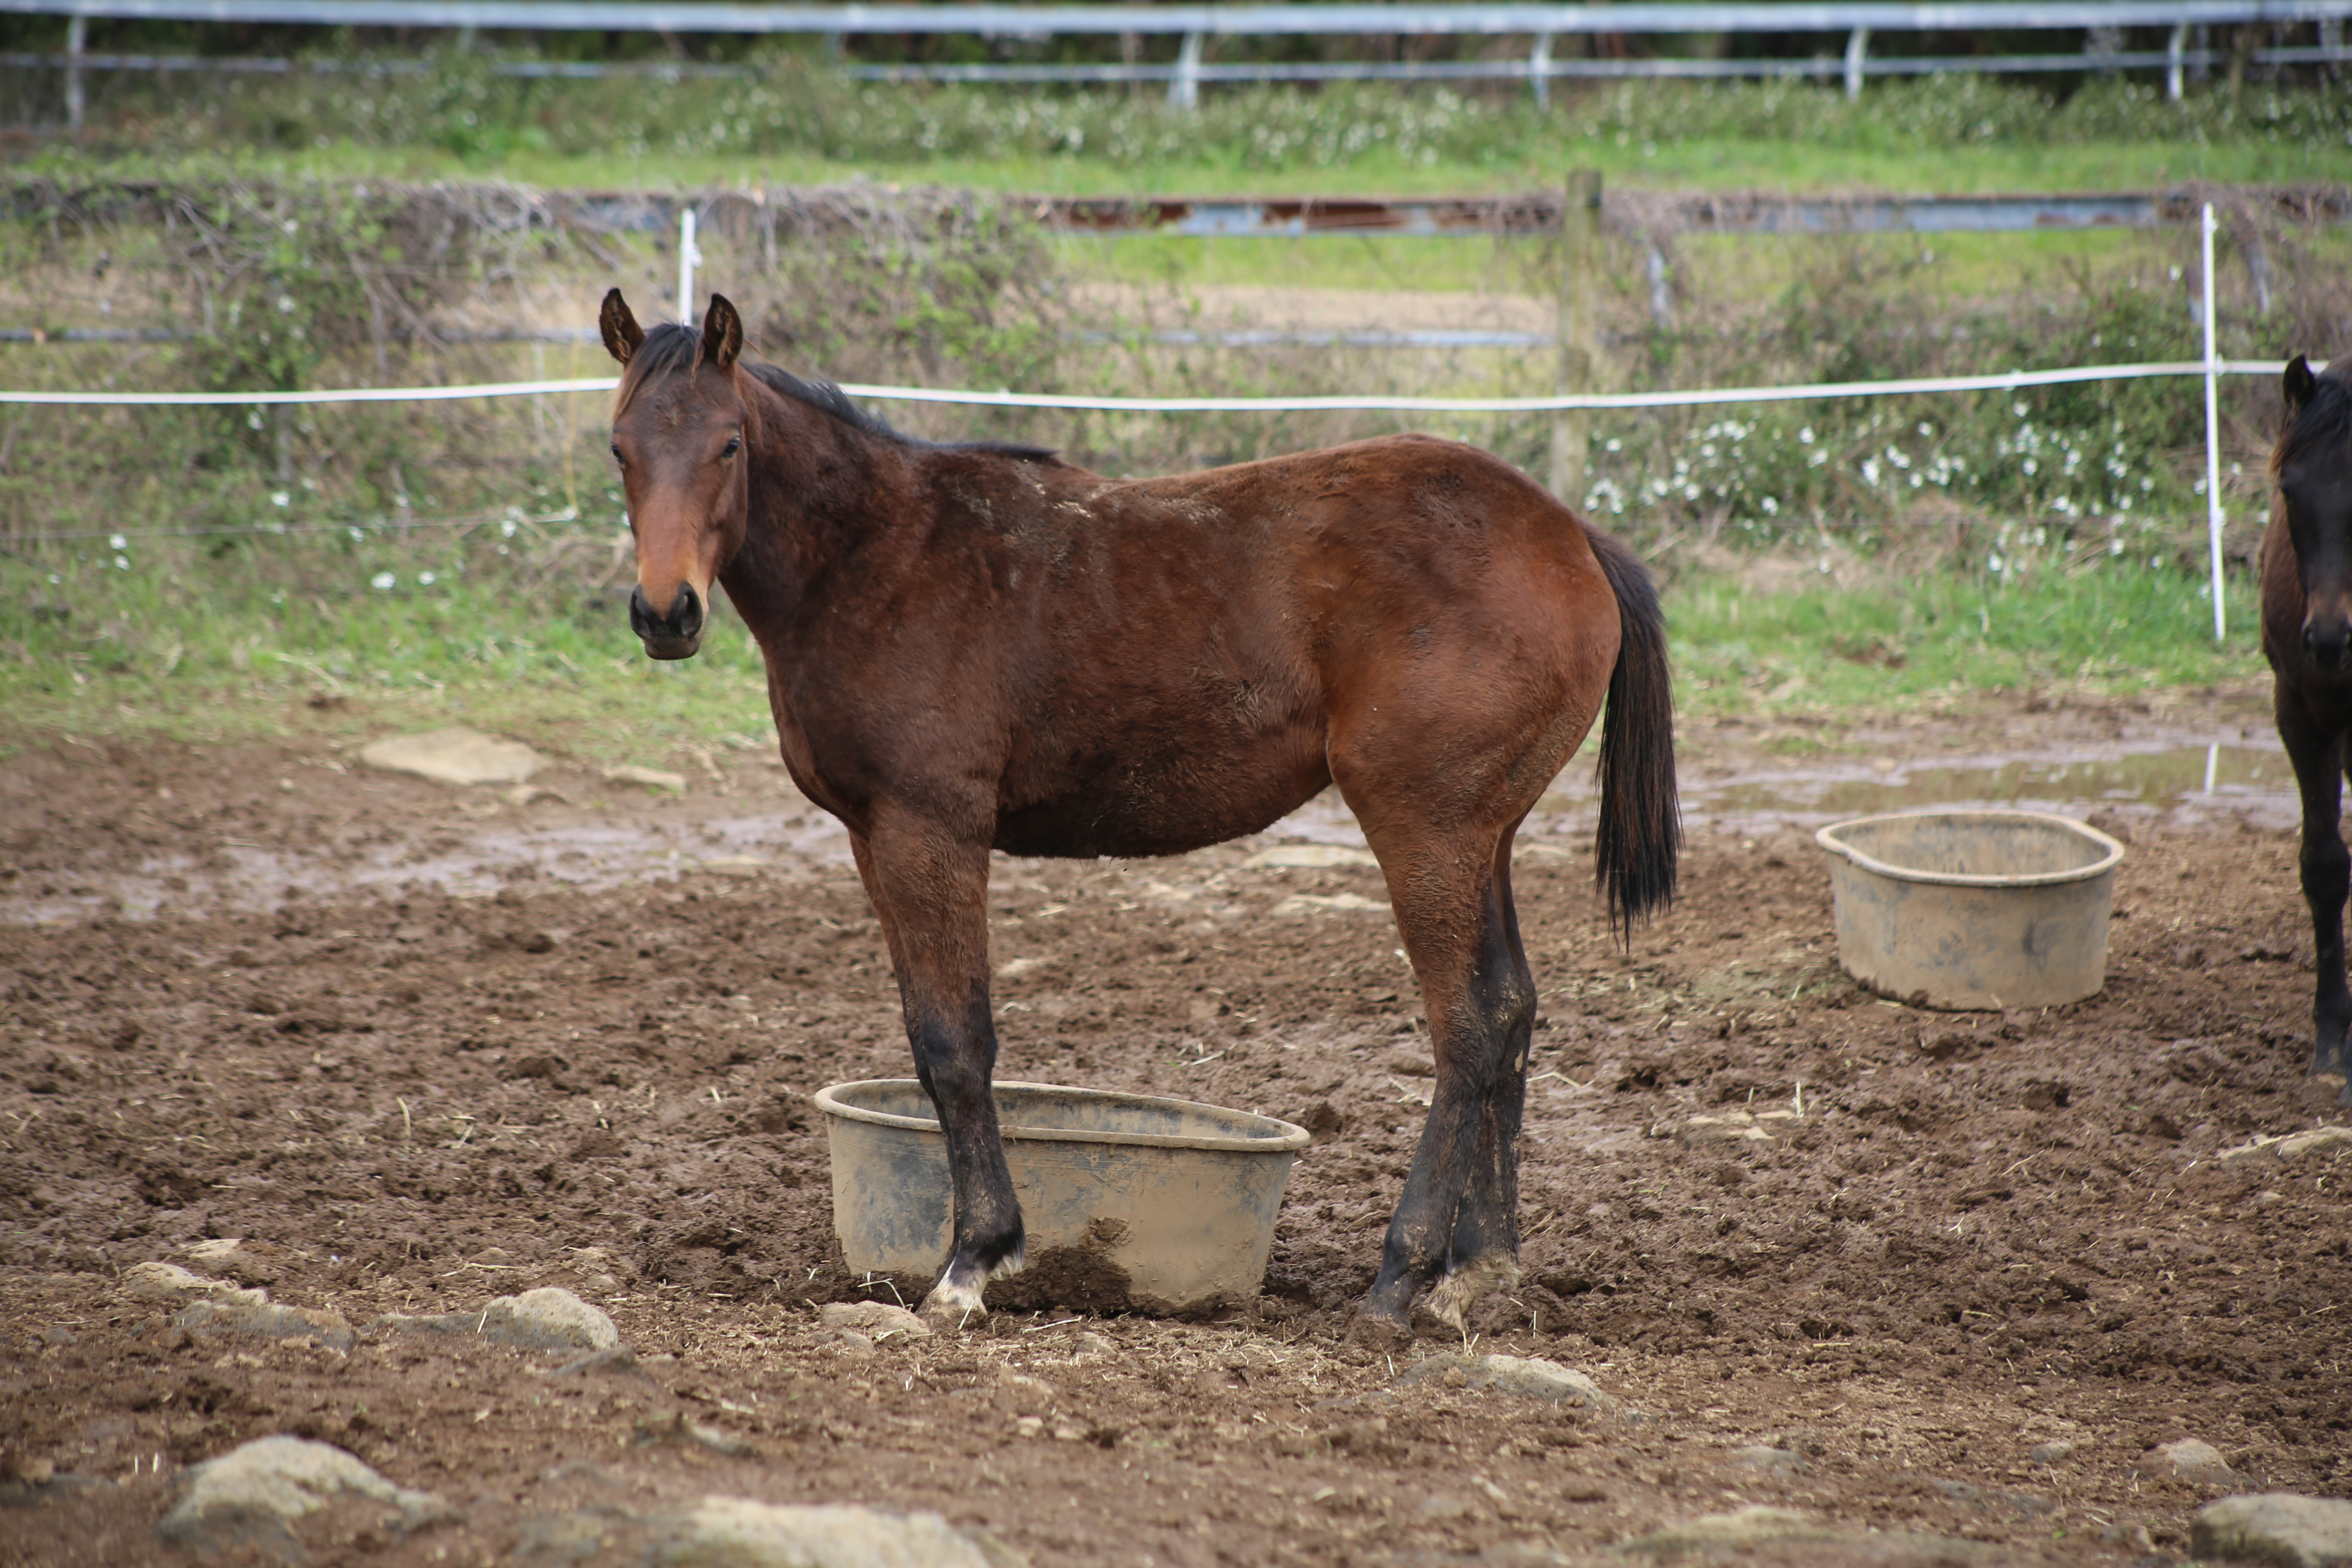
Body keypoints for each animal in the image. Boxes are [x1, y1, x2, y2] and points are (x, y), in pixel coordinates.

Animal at [597, 291, 1684, 1326]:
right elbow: (926, 1033)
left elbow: (956, 1043)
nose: (664, 613)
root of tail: (1569, 534)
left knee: (1464, 1026)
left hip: (1425, 833)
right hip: (1481, 837)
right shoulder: (875, 836)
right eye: (619, 448)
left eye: (727, 445)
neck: (879, 555)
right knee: (1509, 1009)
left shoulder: (930, 831)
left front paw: (974, 1259)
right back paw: (1476, 1272)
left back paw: (1397, 1279)